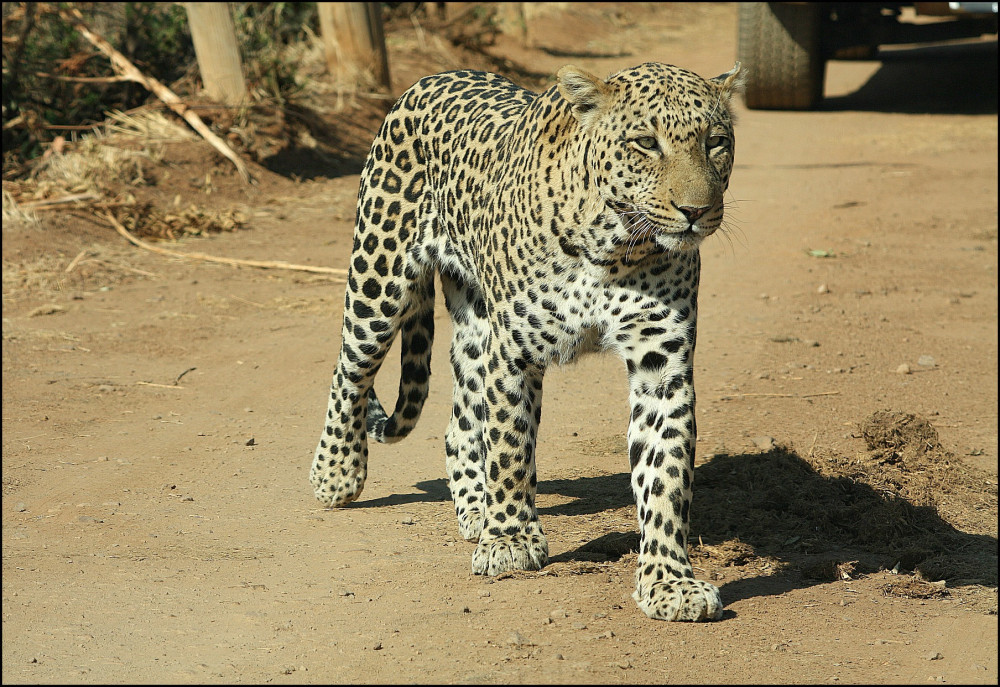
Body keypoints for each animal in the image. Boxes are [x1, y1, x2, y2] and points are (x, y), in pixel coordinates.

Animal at [310, 61, 744, 624]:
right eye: (646, 143)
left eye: (716, 142)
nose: (695, 210)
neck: (614, 248)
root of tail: (430, 78)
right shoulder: (512, 352)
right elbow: (511, 446)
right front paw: (510, 540)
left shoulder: (661, 363)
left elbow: (666, 475)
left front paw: (670, 581)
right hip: (379, 281)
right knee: (350, 371)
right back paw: (336, 473)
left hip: (473, 322)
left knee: (459, 424)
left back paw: (475, 509)